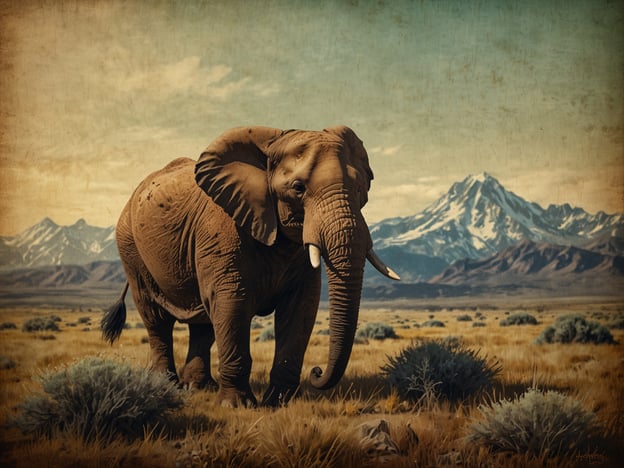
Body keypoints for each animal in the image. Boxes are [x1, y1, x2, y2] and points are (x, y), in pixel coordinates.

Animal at [100, 126, 398, 408]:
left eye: (361, 190)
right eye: (298, 188)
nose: (316, 371)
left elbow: (301, 307)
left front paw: (277, 403)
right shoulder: (222, 227)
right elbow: (233, 302)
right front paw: (236, 405)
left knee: (203, 321)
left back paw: (198, 388)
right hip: (130, 248)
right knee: (156, 317)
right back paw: (166, 385)